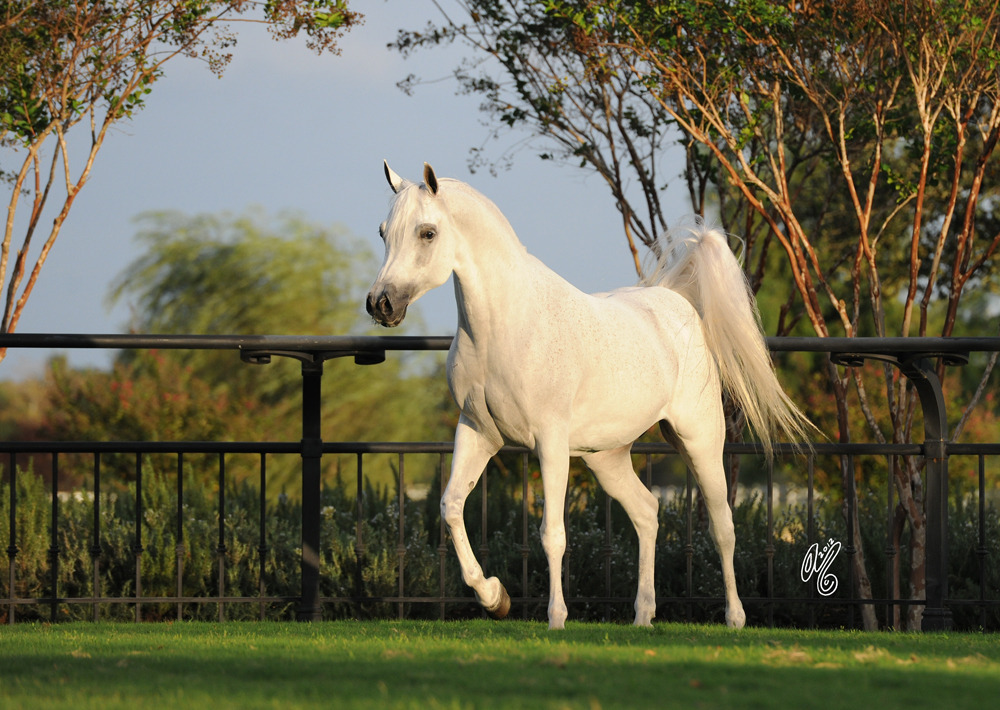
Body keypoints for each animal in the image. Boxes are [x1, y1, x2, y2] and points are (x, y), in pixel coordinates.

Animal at [366, 162, 814, 629]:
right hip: (607, 459)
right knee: (647, 513)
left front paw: (556, 618)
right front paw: (494, 597)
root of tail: (678, 302)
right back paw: (643, 615)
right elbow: (451, 506)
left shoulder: (550, 442)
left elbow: (552, 534)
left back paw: (735, 618)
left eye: (427, 232)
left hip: (700, 440)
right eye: (383, 232)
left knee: (722, 525)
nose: (381, 304)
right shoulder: (478, 432)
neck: (507, 327)